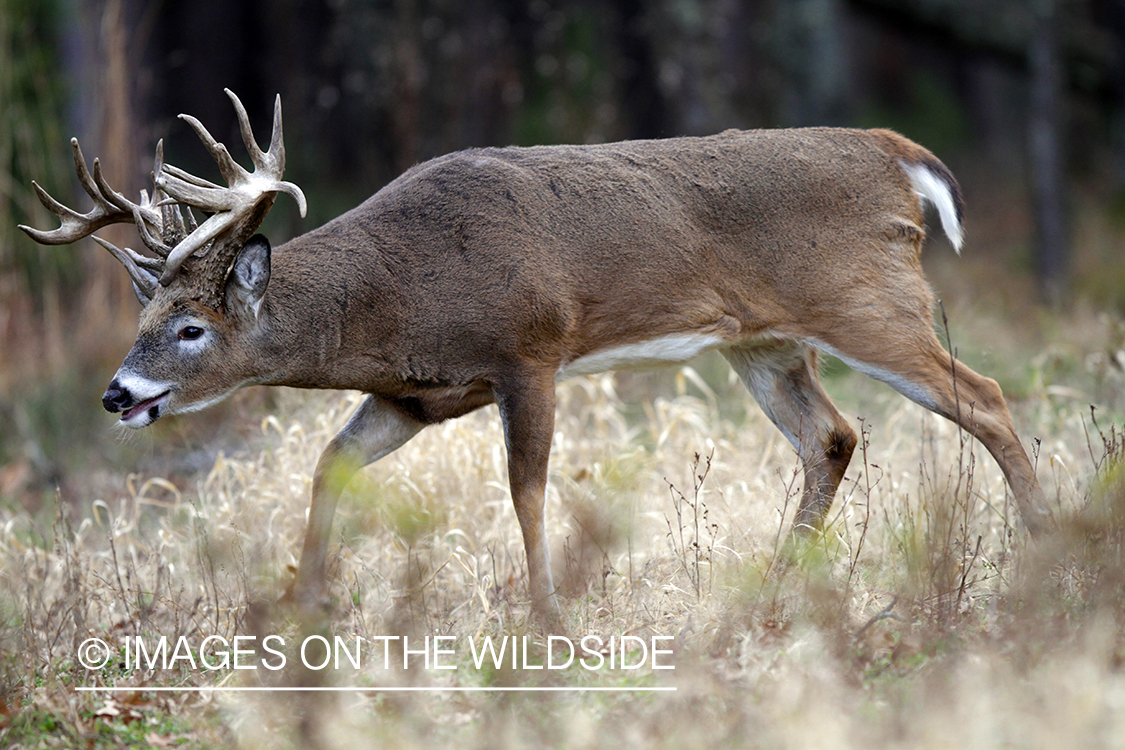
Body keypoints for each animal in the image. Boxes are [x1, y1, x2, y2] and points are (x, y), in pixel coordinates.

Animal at [24, 91, 1044, 620]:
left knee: (987, 396)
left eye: (191, 328)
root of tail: (893, 151)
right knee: (829, 438)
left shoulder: (530, 350)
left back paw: (1045, 546)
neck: (401, 296)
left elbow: (525, 487)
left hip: (867, 301)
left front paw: (545, 612)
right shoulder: (413, 397)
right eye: (146, 313)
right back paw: (773, 582)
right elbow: (329, 466)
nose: (117, 393)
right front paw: (304, 604)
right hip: (765, 342)